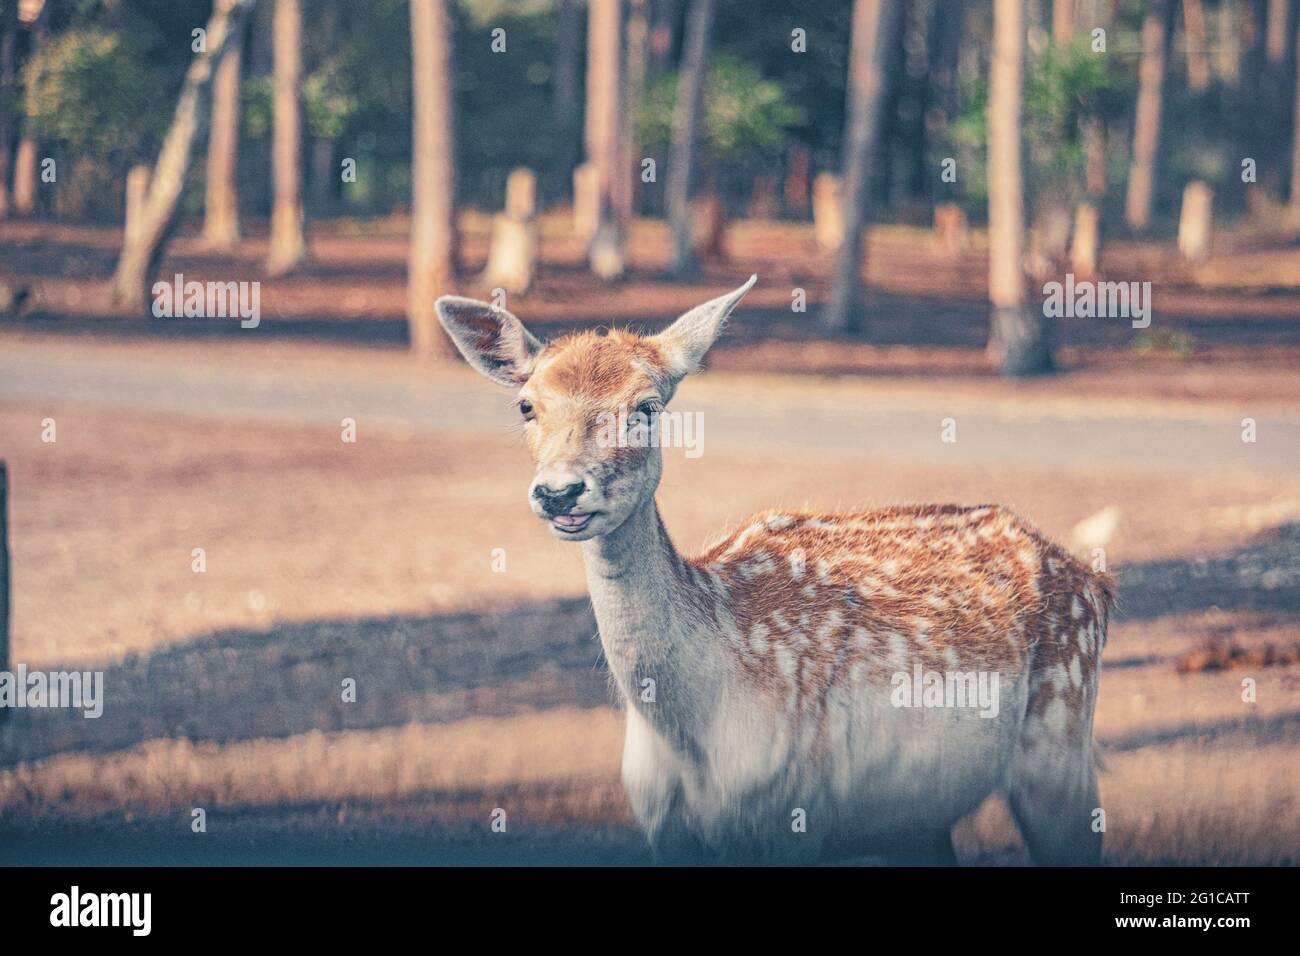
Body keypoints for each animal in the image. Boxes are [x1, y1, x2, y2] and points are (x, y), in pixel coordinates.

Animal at [434, 278, 1107, 868]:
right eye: (527, 405)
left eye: (646, 407)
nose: (559, 492)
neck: (692, 735)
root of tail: (1095, 580)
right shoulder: (663, 831)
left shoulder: (790, 816)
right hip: (917, 816)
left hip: (1062, 741)